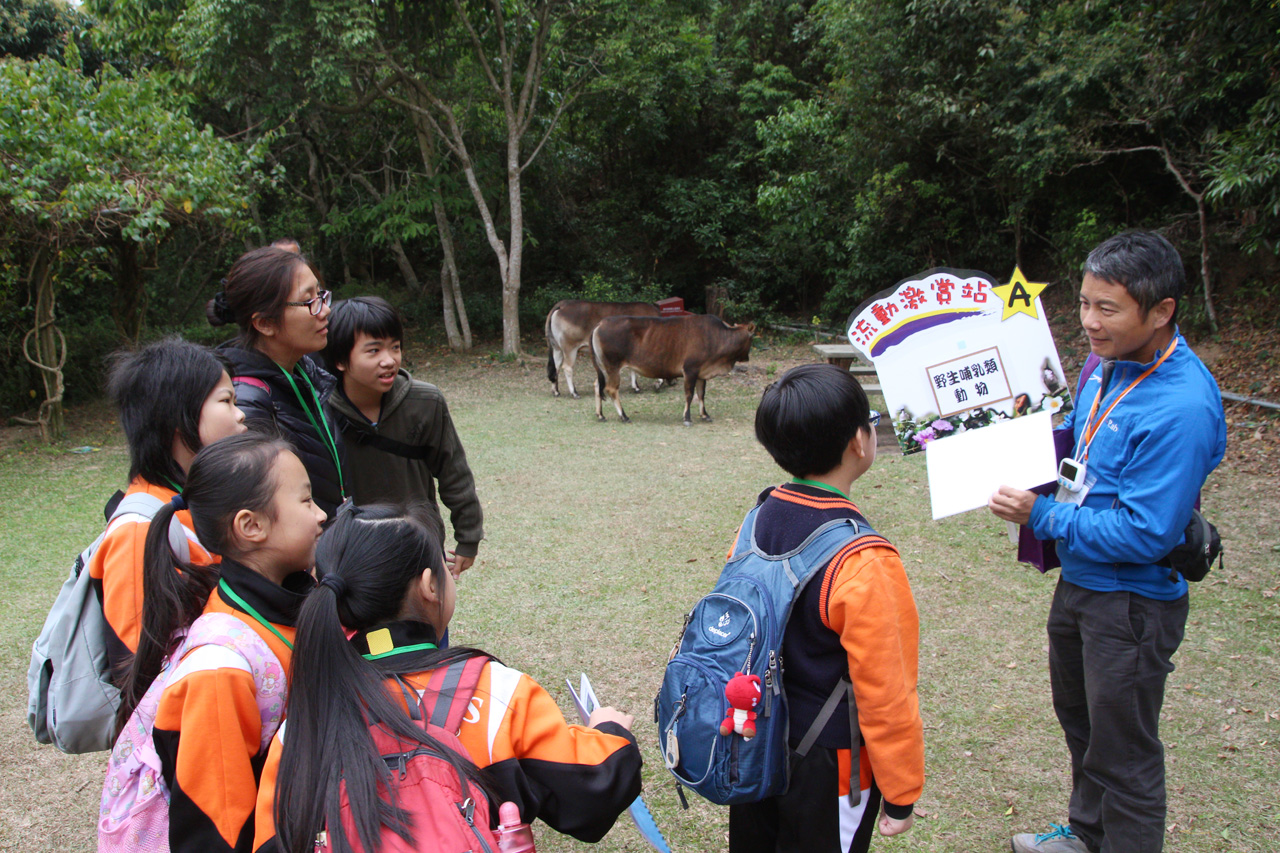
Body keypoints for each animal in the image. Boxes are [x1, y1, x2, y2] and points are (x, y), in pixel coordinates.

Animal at [593, 313, 752, 422]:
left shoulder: (701, 372)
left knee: (597, 385)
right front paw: (687, 417)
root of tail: (600, 323)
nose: (747, 357)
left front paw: (704, 415)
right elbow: (689, 394)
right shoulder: (690, 370)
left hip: (603, 367)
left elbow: (701, 394)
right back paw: (624, 416)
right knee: (611, 389)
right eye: (751, 338)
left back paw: (600, 415)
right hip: (613, 366)